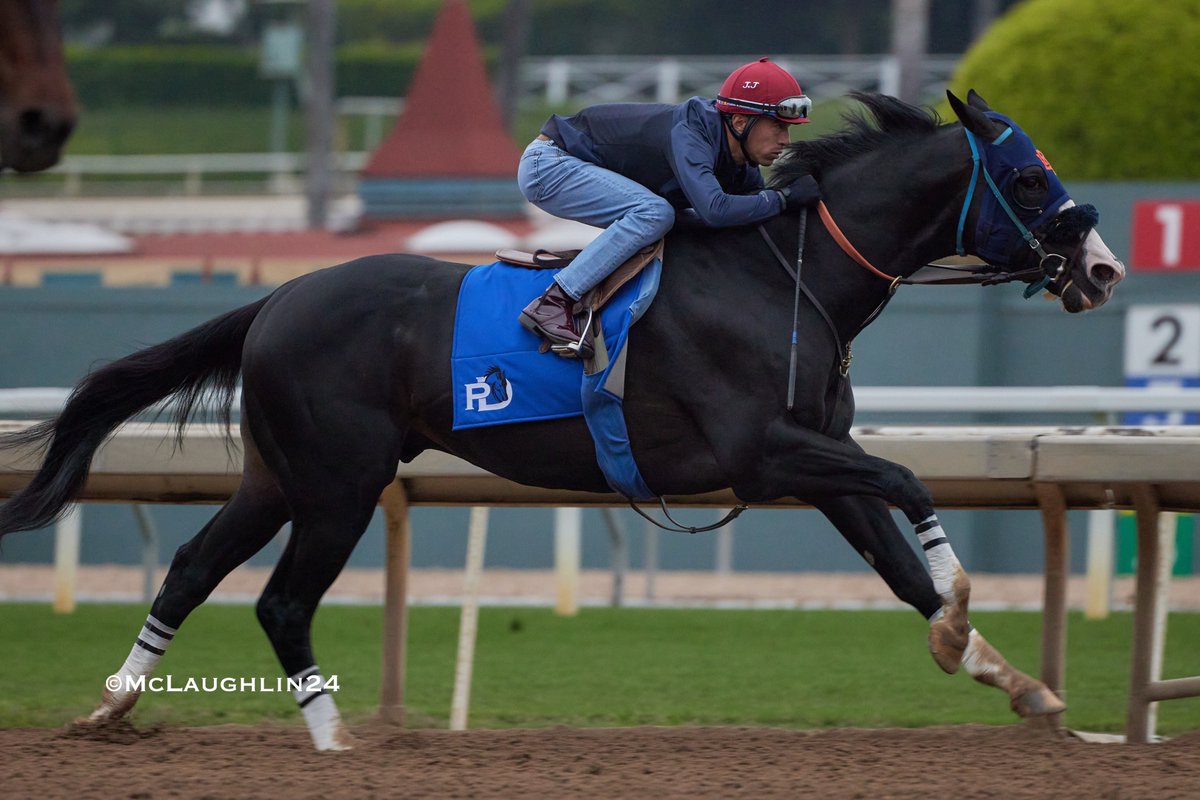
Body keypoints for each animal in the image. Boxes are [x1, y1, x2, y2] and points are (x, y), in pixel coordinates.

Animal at [0, 94, 1123, 753]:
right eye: (1029, 178)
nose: (1104, 268)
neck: (781, 273)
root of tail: (274, 298)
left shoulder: (812, 461)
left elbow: (897, 564)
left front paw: (1011, 677)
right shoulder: (768, 452)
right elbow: (914, 486)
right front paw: (966, 619)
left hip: (281, 475)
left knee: (192, 566)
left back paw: (112, 704)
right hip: (340, 482)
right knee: (281, 600)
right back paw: (334, 743)